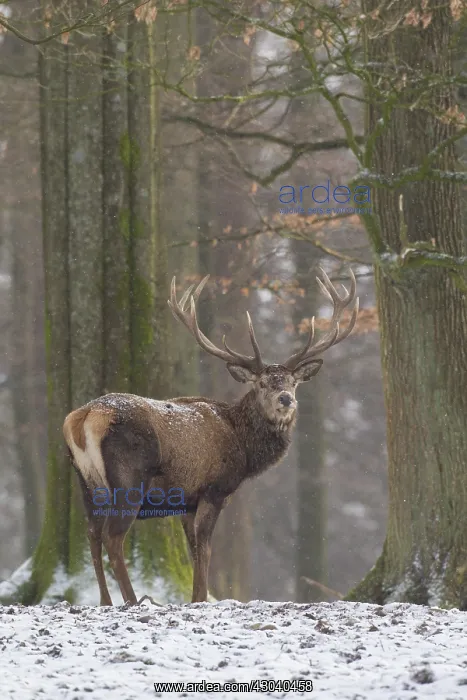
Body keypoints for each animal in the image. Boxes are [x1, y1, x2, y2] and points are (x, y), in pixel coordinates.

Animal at [63, 268, 358, 606]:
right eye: (261, 383)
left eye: (293, 382)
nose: (286, 399)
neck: (243, 446)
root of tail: (84, 416)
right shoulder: (215, 488)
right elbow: (205, 548)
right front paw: (201, 599)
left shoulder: (187, 501)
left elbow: (193, 550)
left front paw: (196, 597)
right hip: (128, 480)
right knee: (112, 538)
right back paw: (132, 600)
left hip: (86, 483)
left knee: (91, 534)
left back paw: (105, 601)